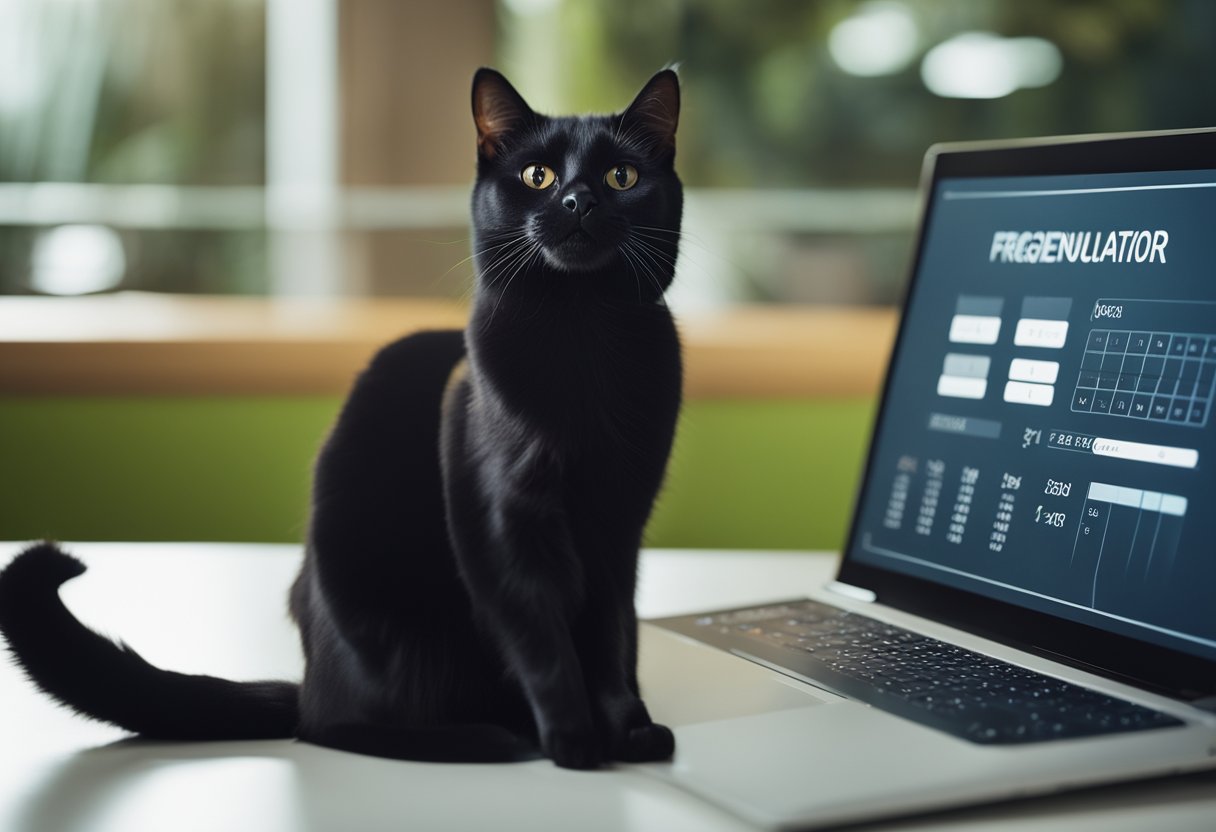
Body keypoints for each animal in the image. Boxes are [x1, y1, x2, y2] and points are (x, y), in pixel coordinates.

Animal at [0, 68, 685, 768]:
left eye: (622, 177)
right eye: (538, 176)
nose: (578, 202)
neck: (583, 341)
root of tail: (308, 678)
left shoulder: (619, 522)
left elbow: (612, 639)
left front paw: (628, 729)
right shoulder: (503, 520)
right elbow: (543, 640)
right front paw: (575, 742)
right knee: (329, 725)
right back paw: (486, 736)